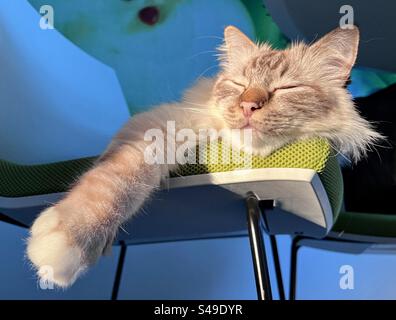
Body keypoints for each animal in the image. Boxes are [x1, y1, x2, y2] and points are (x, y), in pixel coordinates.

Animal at [25, 24, 380, 284]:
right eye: (239, 85)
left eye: (287, 89)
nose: (248, 106)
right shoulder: (164, 125)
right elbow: (116, 180)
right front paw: (67, 242)